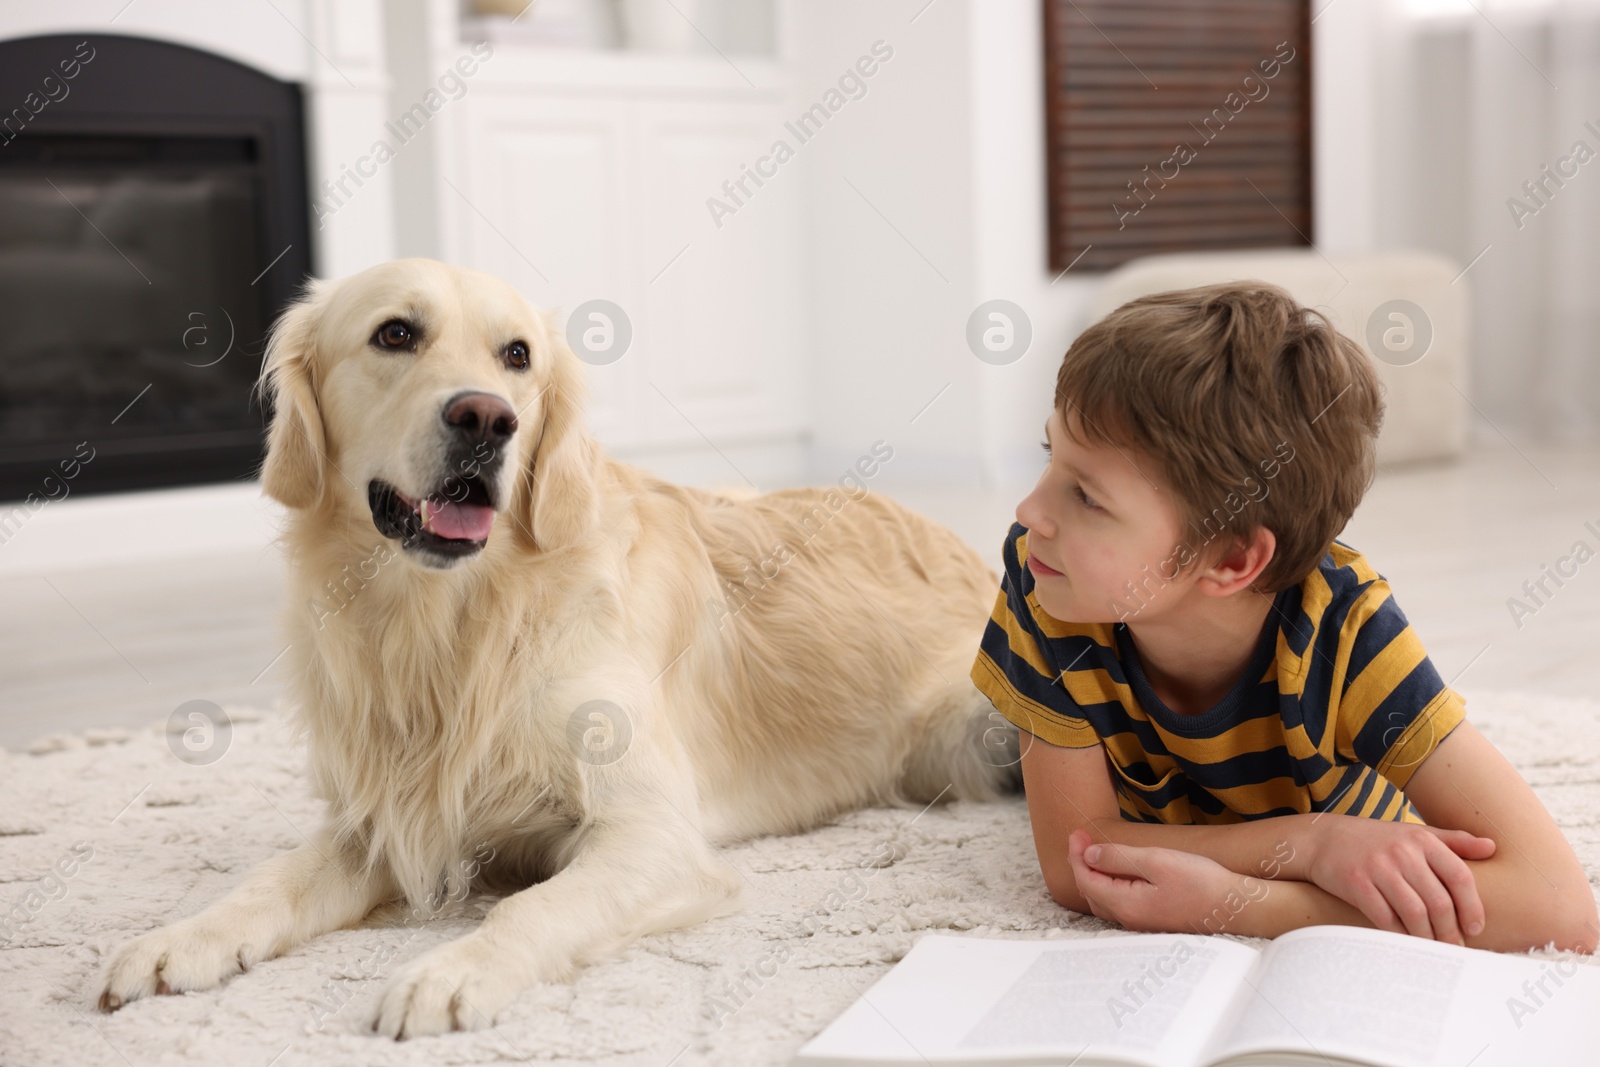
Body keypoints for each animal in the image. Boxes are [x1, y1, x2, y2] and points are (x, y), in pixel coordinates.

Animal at [93, 255, 1017, 1036]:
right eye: (395, 333)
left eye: (518, 355)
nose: (485, 418)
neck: (454, 621)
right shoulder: (385, 813)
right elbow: (275, 876)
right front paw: (184, 936)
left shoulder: (653, 833)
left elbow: (532, 905)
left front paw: (451, 970)